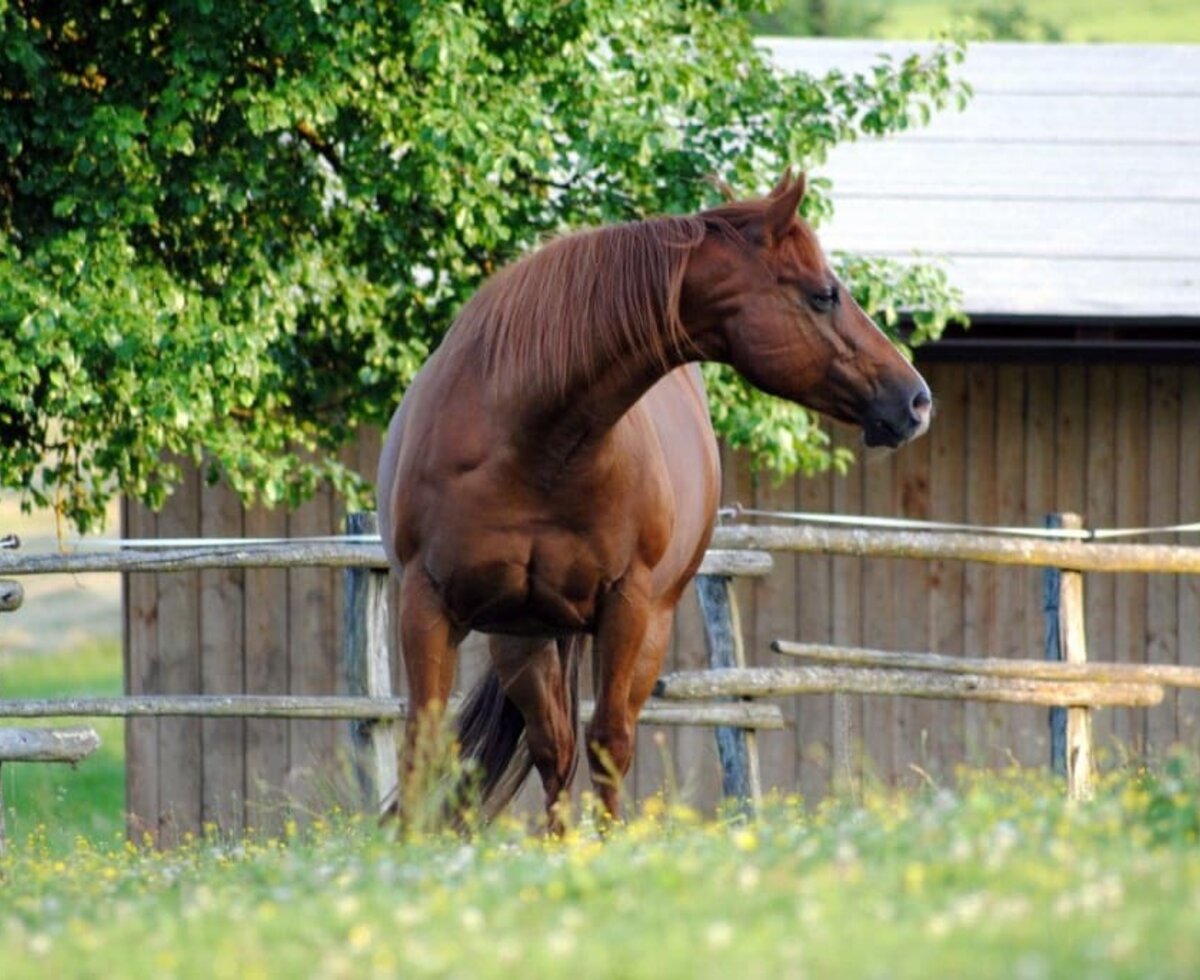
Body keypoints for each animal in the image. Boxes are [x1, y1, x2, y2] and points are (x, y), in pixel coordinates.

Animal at [379, 171, 931, 820]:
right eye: (823, 294)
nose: (916, 399)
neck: (528, 442)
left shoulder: (628, 607)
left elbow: (609, 745)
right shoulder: (428, 604)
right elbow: (419, 749)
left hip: (630, 627)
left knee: (570, 747)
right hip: (522, 635)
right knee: (552, 749)